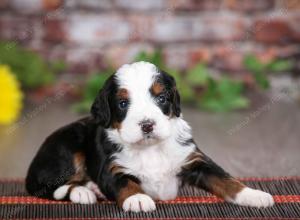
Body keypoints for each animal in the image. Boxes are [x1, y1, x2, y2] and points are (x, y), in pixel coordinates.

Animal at [25, 61, 274, 212]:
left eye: (161, 98)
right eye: (123, 103)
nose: (147, 125)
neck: (150, 148)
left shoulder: (194, 161)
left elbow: (225, 179)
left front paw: (254, 195)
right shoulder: (112, 168)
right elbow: (125, 183)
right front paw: (137, 198)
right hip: (67, 146)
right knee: (51, 187)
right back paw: (83, 192)